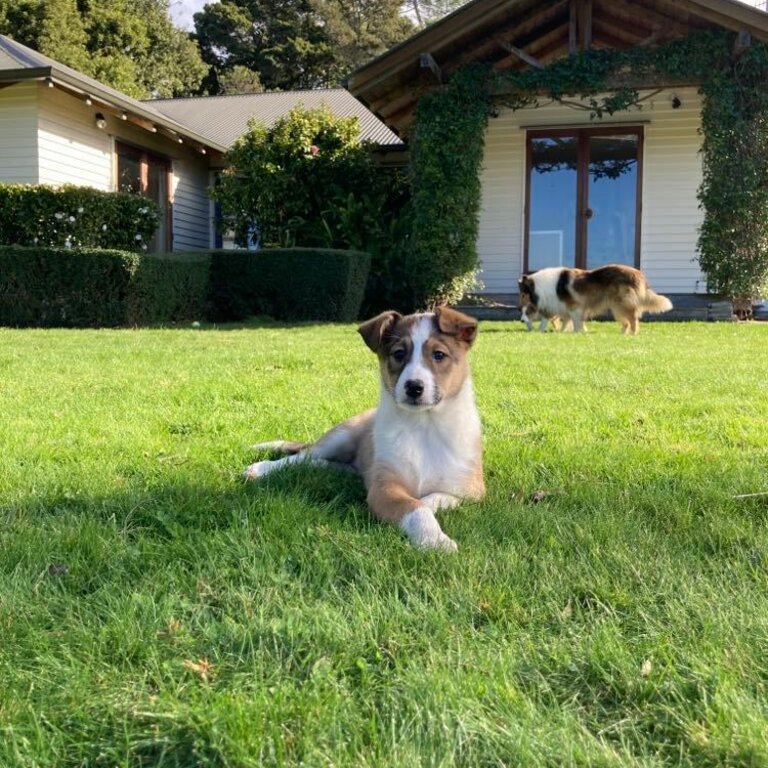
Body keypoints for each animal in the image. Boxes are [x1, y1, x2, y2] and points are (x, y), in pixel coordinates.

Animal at [243, 306, 484, 552]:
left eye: (439, 355)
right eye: (398, 354)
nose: (414, 387)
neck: (423, 426)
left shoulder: (471, 489)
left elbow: (434, 498)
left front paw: (430, 518)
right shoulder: (384, 486)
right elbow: (415, 509)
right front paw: (434, 540)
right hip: (339, 438)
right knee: (300, 457)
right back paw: (260, 469)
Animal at [516, 264, 672, 332]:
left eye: (523, 294)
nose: (521, 320)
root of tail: (638, 274)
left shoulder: (575, 307)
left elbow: (576, 322)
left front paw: (578, 333)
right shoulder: (564, 307)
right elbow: (565, 321)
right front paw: (561, 333)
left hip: (623, 304)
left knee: (633, 320)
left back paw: (632, 336)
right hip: (616, 307)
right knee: (626, 322)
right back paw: (622, 335)